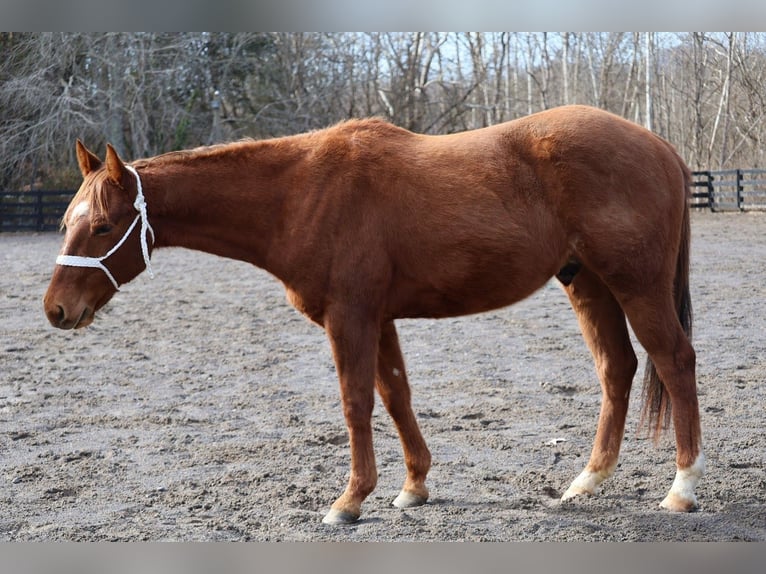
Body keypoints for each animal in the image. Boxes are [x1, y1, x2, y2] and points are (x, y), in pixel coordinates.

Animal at [43, 105, 704, 525]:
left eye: (101, 226)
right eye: (68, 221)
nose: (56, 310)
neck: (301, 193)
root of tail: (662, 148)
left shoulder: (350, 317)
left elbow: (356, 402)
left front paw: (349, 501)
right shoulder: (380, 319)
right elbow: (395, 395)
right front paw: (414, 488)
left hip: (636, 286)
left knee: (674, 362)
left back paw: (681, 489)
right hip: (586, 283)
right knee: (617, 369)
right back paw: (587, 481)